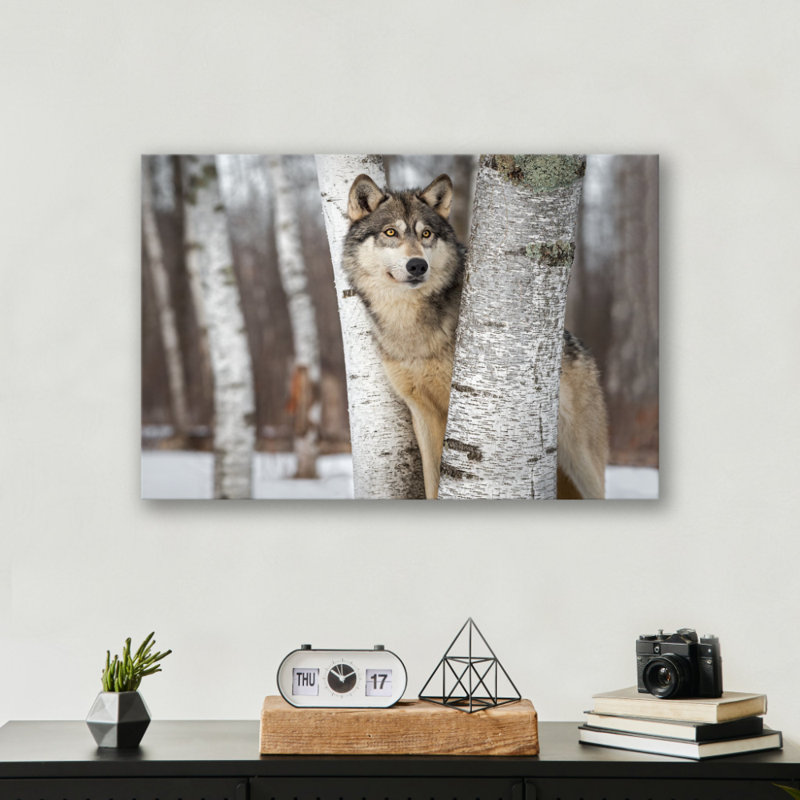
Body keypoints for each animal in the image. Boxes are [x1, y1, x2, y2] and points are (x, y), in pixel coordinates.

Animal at [343, 172, 608, 500]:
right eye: (391, 232)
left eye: (426, 233)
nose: (417, 265)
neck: (410, 326)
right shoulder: (422, 413)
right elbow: (432, 482)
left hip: (582, 464)